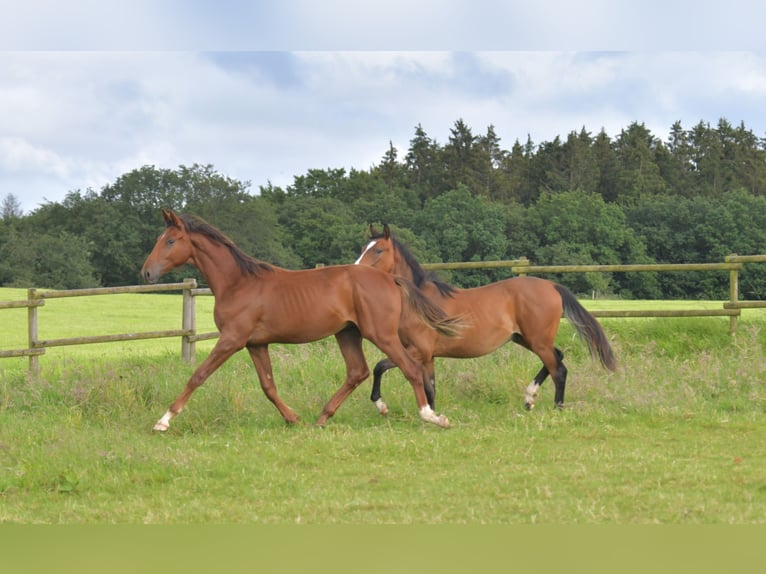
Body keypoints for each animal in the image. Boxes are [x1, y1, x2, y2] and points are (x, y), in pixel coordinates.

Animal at [140, 212, 462, 432]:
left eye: (170, 241)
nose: (146, 272)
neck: (238, 283)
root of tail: (391, 279)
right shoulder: (256, 344)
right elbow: (268, 386)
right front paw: (293, 418)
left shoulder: (232, 339)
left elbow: (198, 376)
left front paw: (163, 421)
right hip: (347, 333)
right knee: (357, 371)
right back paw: (322, 418)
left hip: (380, 334)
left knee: (409, 368)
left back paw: (431, 416)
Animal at [356, 225, 616, 414]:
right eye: (363, 247)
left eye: (378, 250)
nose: (356, 269)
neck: (418, 299)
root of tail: (552, 285)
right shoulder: (427, 356)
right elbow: (431, 388)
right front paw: (433, 415)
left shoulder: (418, 350)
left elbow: (380, 366)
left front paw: (380, 404)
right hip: (525, 339)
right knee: (557, 357)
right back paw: (530, 398)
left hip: (538, 341)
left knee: (559, 369)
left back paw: (556, 407)